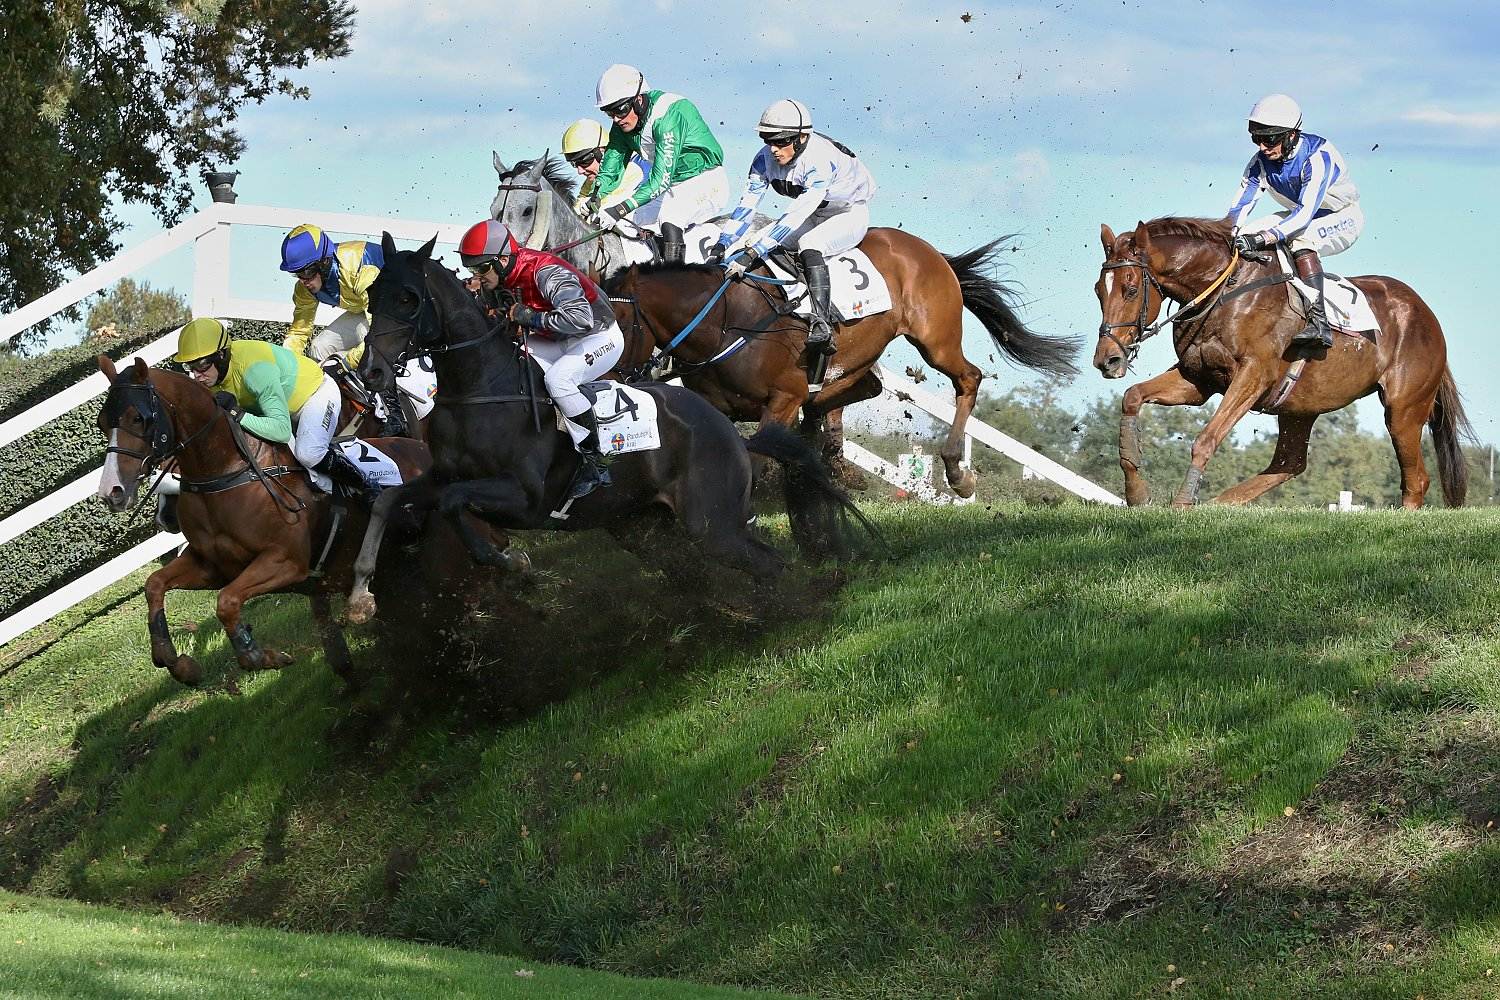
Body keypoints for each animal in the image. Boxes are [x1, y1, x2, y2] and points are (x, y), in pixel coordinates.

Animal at [95, 356, 444, 688]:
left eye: (138, 418)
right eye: (101, 424)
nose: (111, 492)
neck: (227, 474)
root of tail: (425, 452)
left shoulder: (285, 562)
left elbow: (227, 601)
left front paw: (258, 655)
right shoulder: (213, 567)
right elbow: (154, 584)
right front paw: (177, 662)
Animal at [347, 234, 875, 625]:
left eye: (409, 298)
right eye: (372, 296)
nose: (371, 371)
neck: (478, 385)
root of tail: (733, 435)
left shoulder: (523, 497)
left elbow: (458, 505)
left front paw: (514, 564)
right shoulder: (442, 476)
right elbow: (388, 501)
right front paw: (359, 597)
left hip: (711, 524)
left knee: (767, 562)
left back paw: (778, 618)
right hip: (642, 526)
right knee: (704, 568)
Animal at [606, 233, 1082, 497]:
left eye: (620, 321)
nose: (606, 383)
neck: (724, 321)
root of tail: (928, 251)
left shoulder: (781, 401)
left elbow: (756, 461)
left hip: (936, 341)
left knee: (969, 377)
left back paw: (956, 473)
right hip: (861, 352)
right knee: (861, 389)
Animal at [1092, 217, 1473, 508]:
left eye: (1130, 289)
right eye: (1098, 290)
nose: (1107, 360)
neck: (1222, 292)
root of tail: (1426, 313)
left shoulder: (1252, 376)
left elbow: (1207, 438)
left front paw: (1183, 502)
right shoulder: (1197, 380)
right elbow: (1132, 397)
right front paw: (1136, 492)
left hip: (1403, 408)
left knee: (1417, 479)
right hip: (1300, 406)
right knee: (1289, 462)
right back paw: (1222, 503)